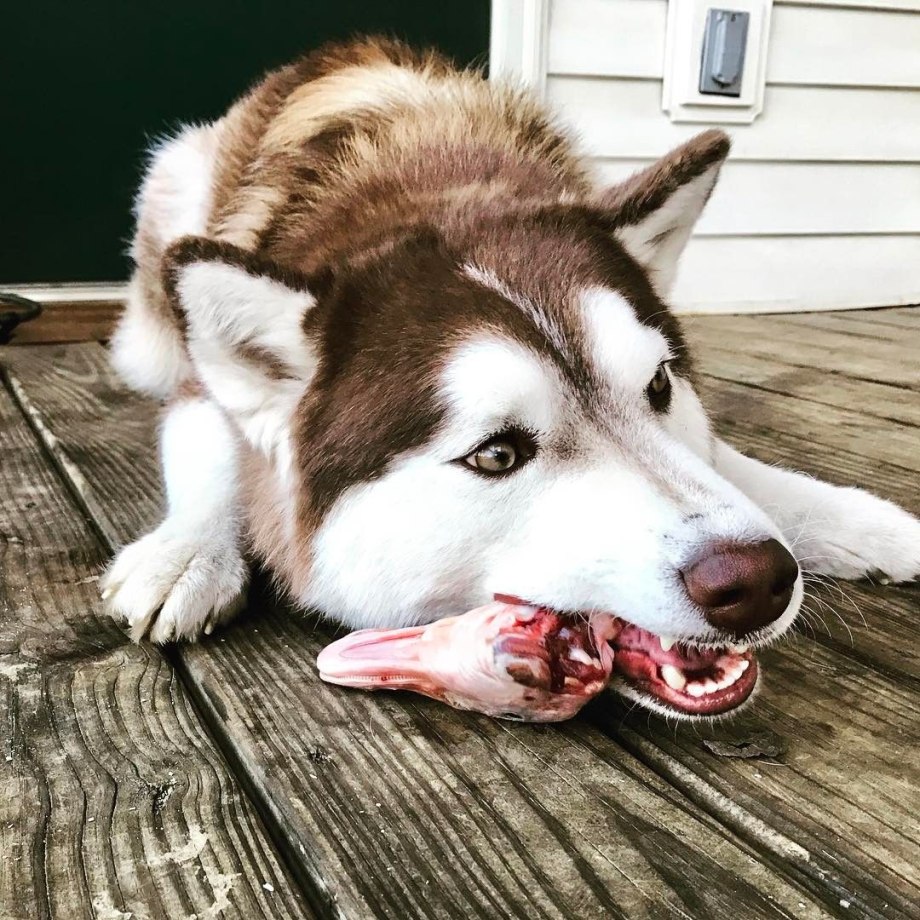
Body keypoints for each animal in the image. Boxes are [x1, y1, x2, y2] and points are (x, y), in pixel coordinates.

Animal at [100, 39, 920, 720]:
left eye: (659, 387)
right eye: (496, 454)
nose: (755, 580)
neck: (434, 180)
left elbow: (729, 464)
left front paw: (863, 522)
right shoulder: (203, 388)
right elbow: (209, 440)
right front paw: (189, 551)